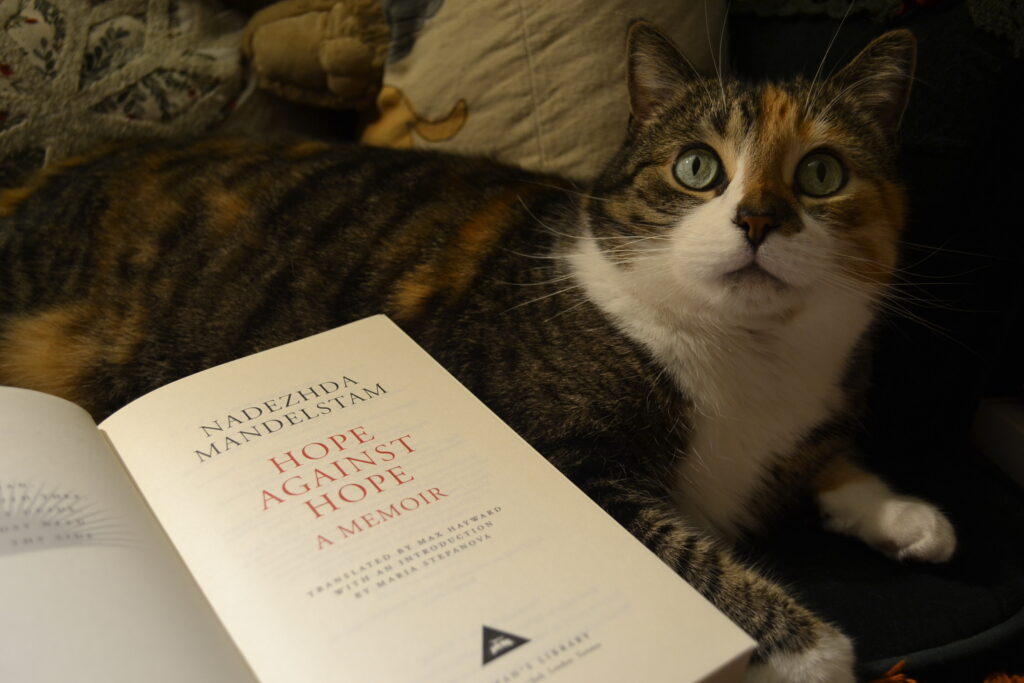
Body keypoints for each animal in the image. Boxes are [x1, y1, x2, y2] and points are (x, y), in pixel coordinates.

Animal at [2, 21, 958, 683]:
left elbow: (826, 456)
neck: (746, 357)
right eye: (698, 168)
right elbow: (682, 552)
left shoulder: (815, 404)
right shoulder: (558, 454)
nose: (759, 219)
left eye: (821, 175)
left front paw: (904, 513)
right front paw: (816, 649)